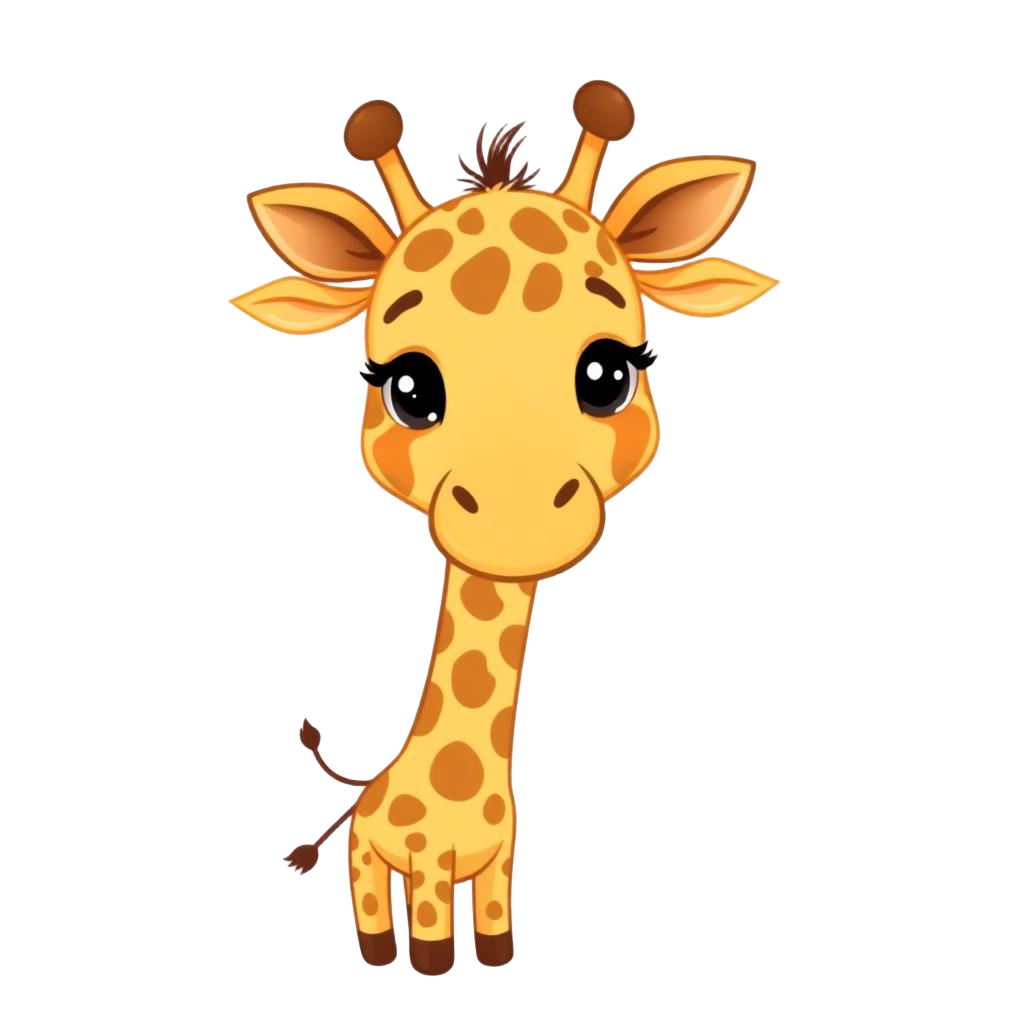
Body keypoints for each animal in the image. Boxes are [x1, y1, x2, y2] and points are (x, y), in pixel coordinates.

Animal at [231, 81, 776, 975]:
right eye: (410, 387)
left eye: (608, 373)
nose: (514, 516)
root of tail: (368, 787)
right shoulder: (423, 870)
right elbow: (428, 931)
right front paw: (429, 968)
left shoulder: (500, 867)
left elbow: (495, 923)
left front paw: (494, 959)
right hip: (364, 858)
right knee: (367, 898)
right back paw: (377, 954)